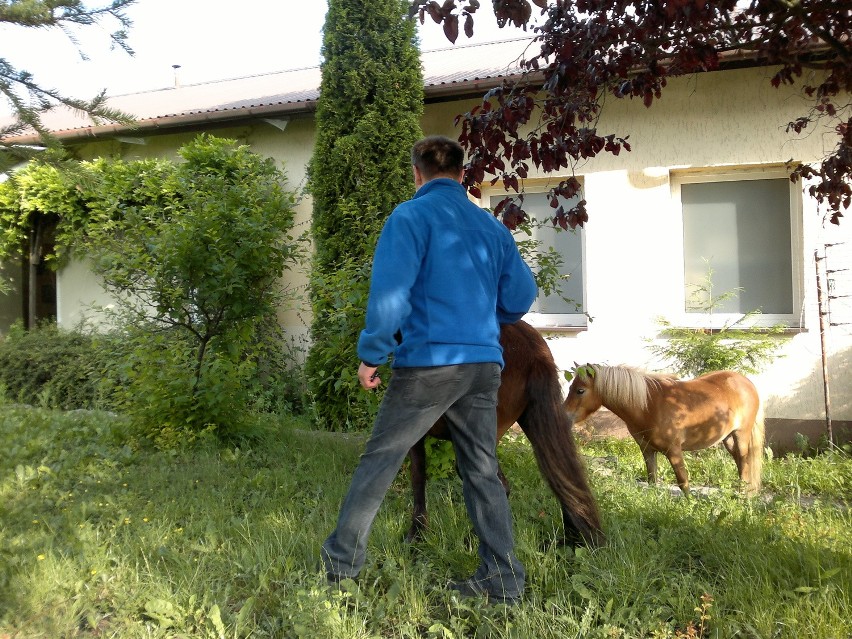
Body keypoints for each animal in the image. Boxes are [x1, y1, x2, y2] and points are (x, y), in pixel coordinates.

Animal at [408, 322, 604, 548]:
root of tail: (533, 351)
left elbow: (417, 477)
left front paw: (416, 534)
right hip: (534, 421)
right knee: (563, 475)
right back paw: (572, 539)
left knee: (498, 485)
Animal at [564, 364, 764, 496]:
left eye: (580, 390)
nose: (564, 415)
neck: (649, 406)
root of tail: (746, 382)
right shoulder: (647, 450)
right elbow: (652, 479)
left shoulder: (674, 451)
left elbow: (683, 482)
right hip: (727, 438)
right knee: (739, 461)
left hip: (741, 435)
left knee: (744, 461)